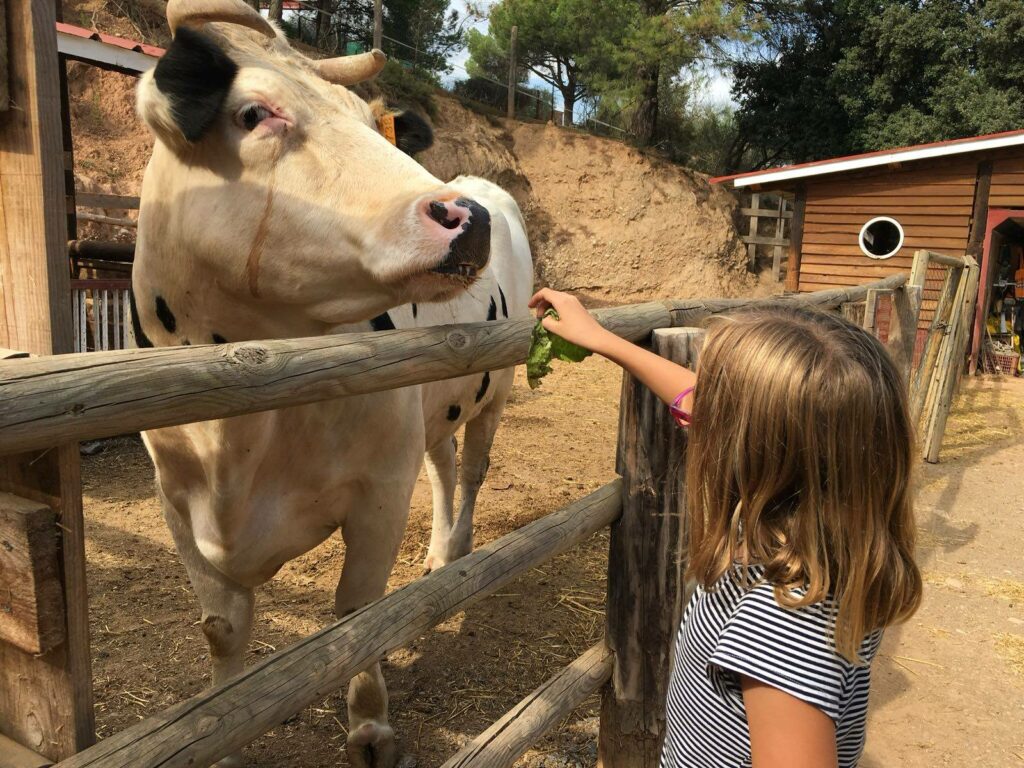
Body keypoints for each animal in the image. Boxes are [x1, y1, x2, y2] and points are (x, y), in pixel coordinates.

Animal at [132, 3, 532, 765]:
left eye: (367, 119)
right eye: (254, 113)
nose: (467, 219)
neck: (237, 430)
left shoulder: (378, 488)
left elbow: (358, 612)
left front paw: (371, 726)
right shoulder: (173, 500)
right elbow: (221, 630)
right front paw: (224, 728)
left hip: (494, 387)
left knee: (470, 469)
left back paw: (457, 550)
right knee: (441, 464)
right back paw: (438, 551)